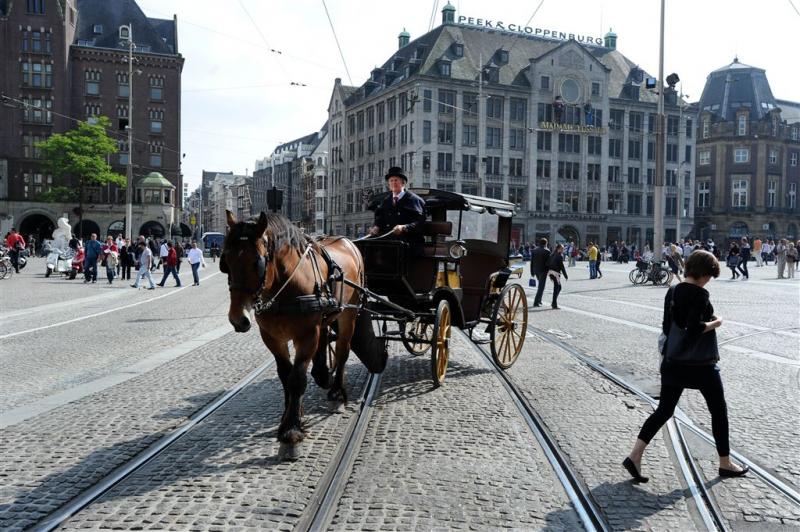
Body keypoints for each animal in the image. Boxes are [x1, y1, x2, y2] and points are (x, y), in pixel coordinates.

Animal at [220, 210, 386, 460]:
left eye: (257, 262)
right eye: (226, 261)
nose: (238, 319)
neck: (284, 289)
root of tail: (349, 242)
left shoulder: (306, 335)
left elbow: (297, 378)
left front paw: (291, 433)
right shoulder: (271, 337)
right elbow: (285, 376)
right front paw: (289, 418)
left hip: (348, 315)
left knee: (343, 351)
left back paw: (337, 394)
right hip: (327, 317)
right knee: (326, 344)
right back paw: (324, 375)